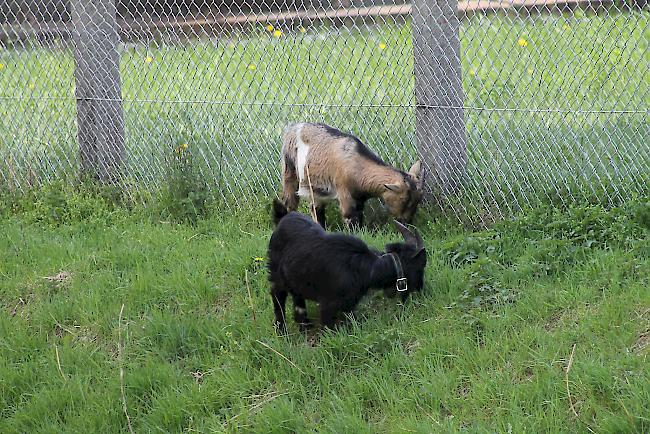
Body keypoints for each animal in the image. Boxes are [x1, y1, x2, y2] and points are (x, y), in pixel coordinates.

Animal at [264, 198, 426, 334]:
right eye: (421, 266)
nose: (421, 289)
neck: (365, 267)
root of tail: (282, 217)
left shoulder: (349, 305)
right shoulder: (328, 305)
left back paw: (305, 326)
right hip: (276, 275)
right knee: (277, 296)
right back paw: (281, 330)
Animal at [280, 121, 422, 227]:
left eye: (418, 200)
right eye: (404, 200)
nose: (407, 223)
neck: (358, 164)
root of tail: (295, 127)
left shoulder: (359, 198)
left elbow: (359, 215)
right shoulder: (345, 192)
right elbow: (350, 217)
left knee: (315, 207)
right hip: (290, 169)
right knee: (290, 200)